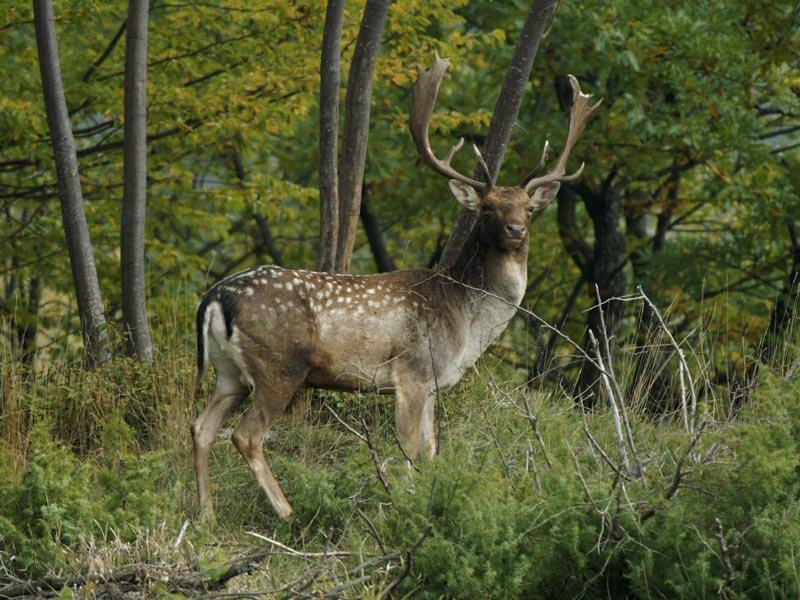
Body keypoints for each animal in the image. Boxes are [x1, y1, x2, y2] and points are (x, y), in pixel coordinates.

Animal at [191, 54, 596, 516]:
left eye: (529, 208)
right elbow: (408, 450)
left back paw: (206, 515)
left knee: (200, 428)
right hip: (278, 366)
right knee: (246, 435)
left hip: (229, 372)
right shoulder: (412, 372)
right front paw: (403, 506)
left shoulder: (435, 383)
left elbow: (432, 450)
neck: (466, 320)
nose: (515, 230)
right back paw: (287, 512)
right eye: (488, 208)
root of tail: (215, 297)